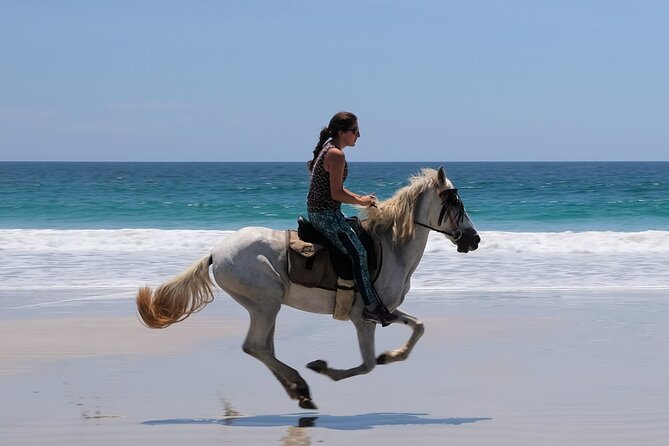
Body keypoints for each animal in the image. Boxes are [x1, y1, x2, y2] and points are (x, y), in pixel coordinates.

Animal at [138, 166, 478, 408]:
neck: (392, 246)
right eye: (456, 202)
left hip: (265, 308)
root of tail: (215, 253)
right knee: (255, 347)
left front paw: (390, 355)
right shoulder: (363, 318)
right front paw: (325, 368)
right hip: (266, 304)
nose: (473, 239)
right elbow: (368, 365)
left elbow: (418, 327)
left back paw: (298, 391)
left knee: (263, 348)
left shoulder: (386, 310)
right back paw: (300, 384)